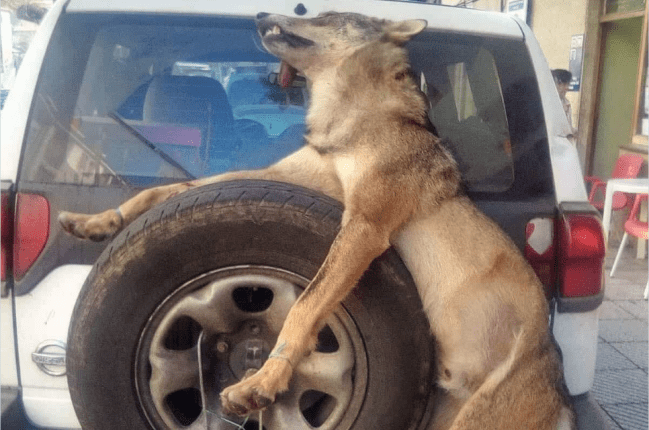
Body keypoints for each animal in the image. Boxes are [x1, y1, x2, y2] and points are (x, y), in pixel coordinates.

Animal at [59, 12, 575, 430]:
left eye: (326, 15)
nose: (261, 14)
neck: (349, 122)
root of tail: (563, 396)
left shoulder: (364, 228)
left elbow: (304, 307)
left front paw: (259, 385)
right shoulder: (282, 178)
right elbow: (167, 189)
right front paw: (95, 221)